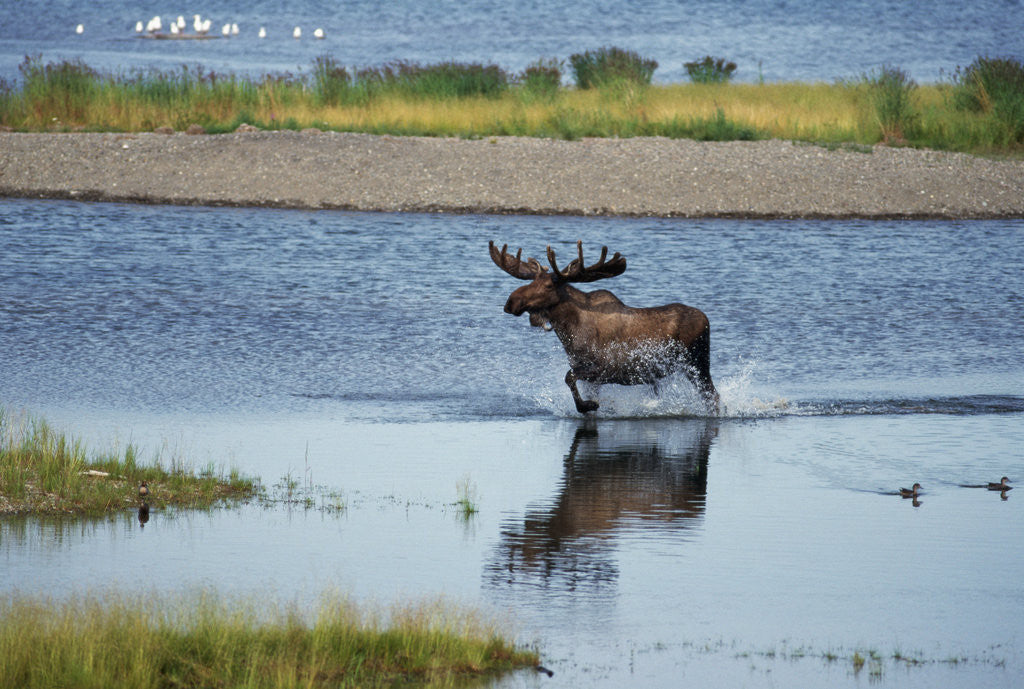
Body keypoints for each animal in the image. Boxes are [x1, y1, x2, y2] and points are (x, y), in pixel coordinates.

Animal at [490, 240, 719, 414]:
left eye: (547, 286)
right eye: (532, 280)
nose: (511, 302)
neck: (569, 333)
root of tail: (706, 319)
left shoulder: (607, 368)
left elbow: (568, 377)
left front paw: (588, 406)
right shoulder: (588, 374)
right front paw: (589, 405)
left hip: (697, 363)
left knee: (713, 396)